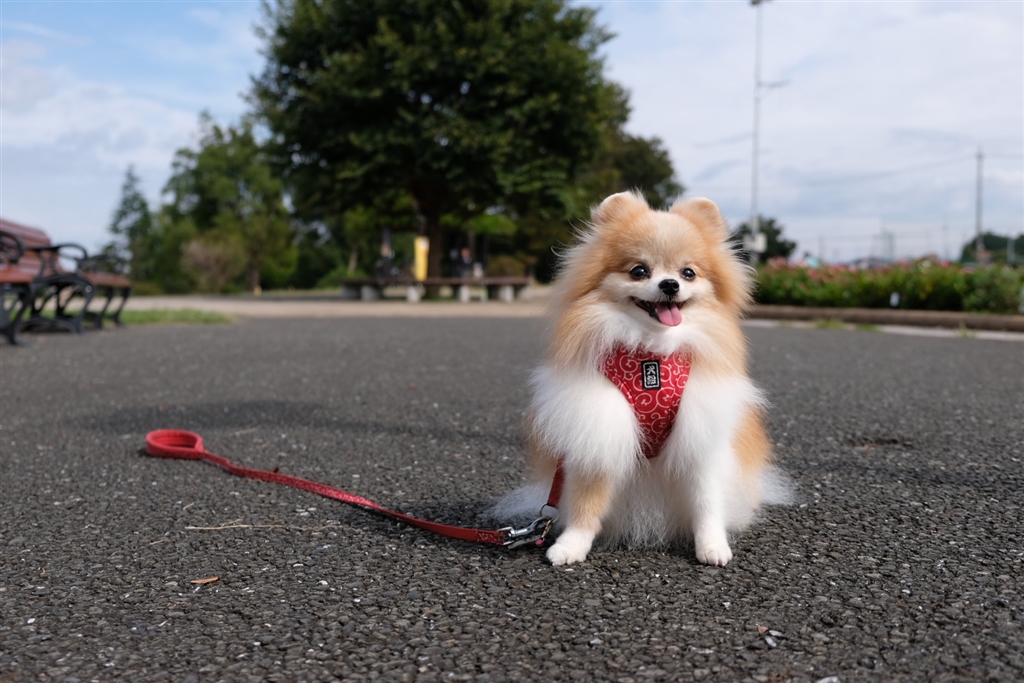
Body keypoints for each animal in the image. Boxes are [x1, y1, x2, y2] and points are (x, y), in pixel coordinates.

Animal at [492, 191, 789, 566]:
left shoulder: (700, 437)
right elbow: (587, 502)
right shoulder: (599, 430)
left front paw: (712, 546)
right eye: (639, 271)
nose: (670, 284)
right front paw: (572, 545)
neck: (652, 355)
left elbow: (706, 502)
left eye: (688, 273)